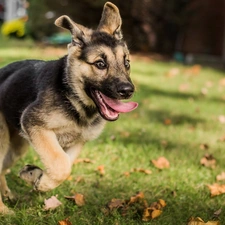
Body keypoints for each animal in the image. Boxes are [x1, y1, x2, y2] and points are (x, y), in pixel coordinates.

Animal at [0, 1, 137, 213]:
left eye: (127, 63)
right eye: (100, 64)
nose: (128, 91)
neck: (74, 100)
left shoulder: (77, 142)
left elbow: (65, 164)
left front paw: (36, 176)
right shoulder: (34, 124)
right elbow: (60, 164)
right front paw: (42, 182)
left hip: (16, 146)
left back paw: (9, 195)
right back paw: (5, 211)